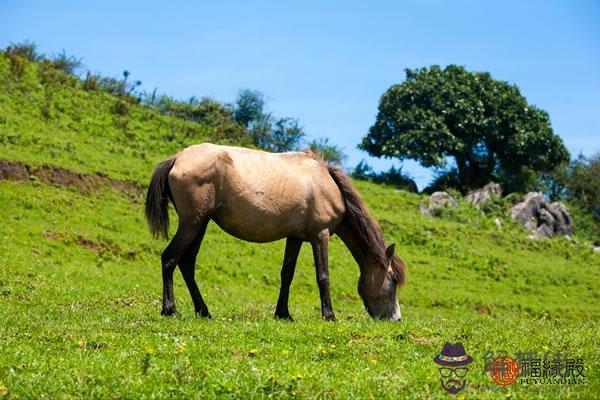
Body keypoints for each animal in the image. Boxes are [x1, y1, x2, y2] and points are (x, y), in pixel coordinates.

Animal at [146, 144, 408, 322]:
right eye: (393, 280)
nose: (396, 319)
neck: (326, 183)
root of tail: (176, 159)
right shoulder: (320, 235)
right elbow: (323, 276)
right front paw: (329, 315)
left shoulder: (295, 238)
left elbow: (287, 274)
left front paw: (283, 314)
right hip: (192, 223)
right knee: (169, 258)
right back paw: (170, 309)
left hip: (200, 224)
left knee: (187, 263)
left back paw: (204, 311)